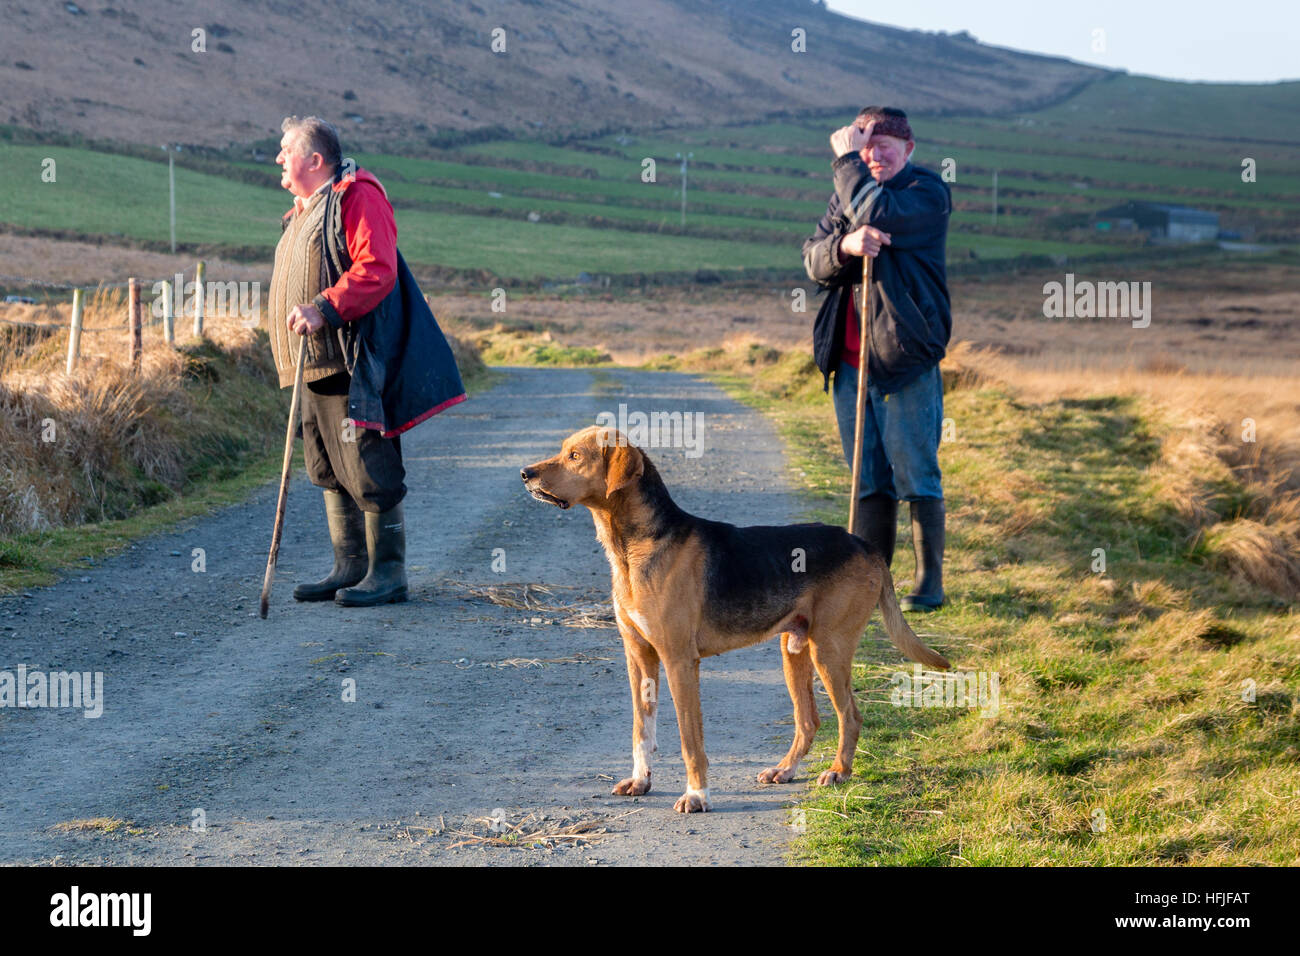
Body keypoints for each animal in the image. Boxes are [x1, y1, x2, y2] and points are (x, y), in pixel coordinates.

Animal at [520, 429, 956, 811]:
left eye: (575, 456)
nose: (525, 474)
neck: (633, 548)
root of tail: (862, 544)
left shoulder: (679, 661)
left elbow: (690, 740)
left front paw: (697, 796)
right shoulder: (639, 657)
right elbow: (641, 730)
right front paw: (641, 781)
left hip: (829, 650)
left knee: (850, 716)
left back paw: (838, 772)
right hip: (794, 649)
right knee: (808, 720)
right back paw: (784, 770)